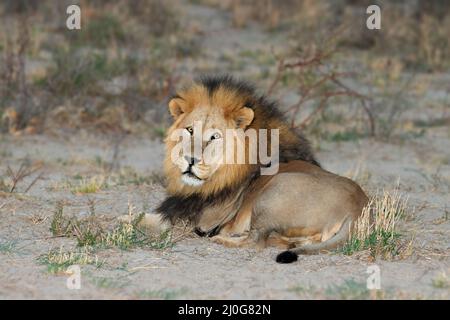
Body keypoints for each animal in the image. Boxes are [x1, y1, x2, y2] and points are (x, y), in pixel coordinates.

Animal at [127, 74, 370, 262]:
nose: (190, 159)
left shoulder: (197, 220)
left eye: (214, 137)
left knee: (257, 241)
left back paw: (222, 239)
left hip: (274, 191)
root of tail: (358, 207)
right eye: (189, 130)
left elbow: (139, 218)